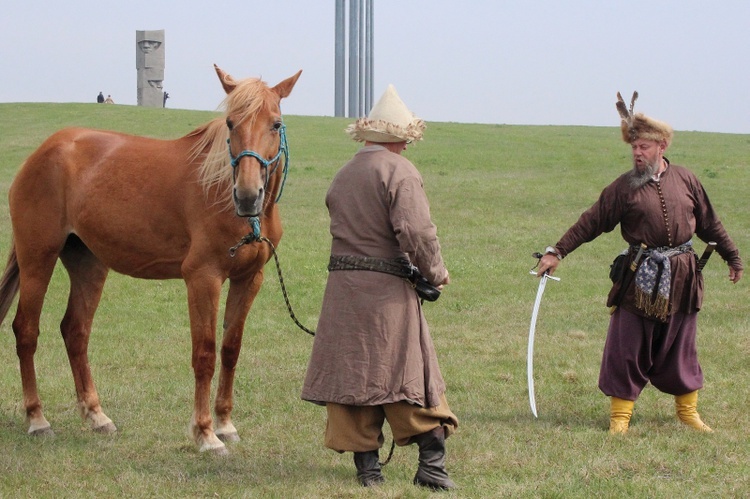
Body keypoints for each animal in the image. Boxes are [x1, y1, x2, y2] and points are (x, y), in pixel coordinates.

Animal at [0, 66, 302, 458]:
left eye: (276, 124)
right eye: (231, 123)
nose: (248, 195)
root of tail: (44, 151)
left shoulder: (249, 278)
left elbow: (230, 349)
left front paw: (225, 423)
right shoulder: (202, 278)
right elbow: (205, 354)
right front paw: (206, 434)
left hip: (88, 263)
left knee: (75, 331)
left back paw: (97, 415)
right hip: (37, 256)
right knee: (26, 330)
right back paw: (37, 419)